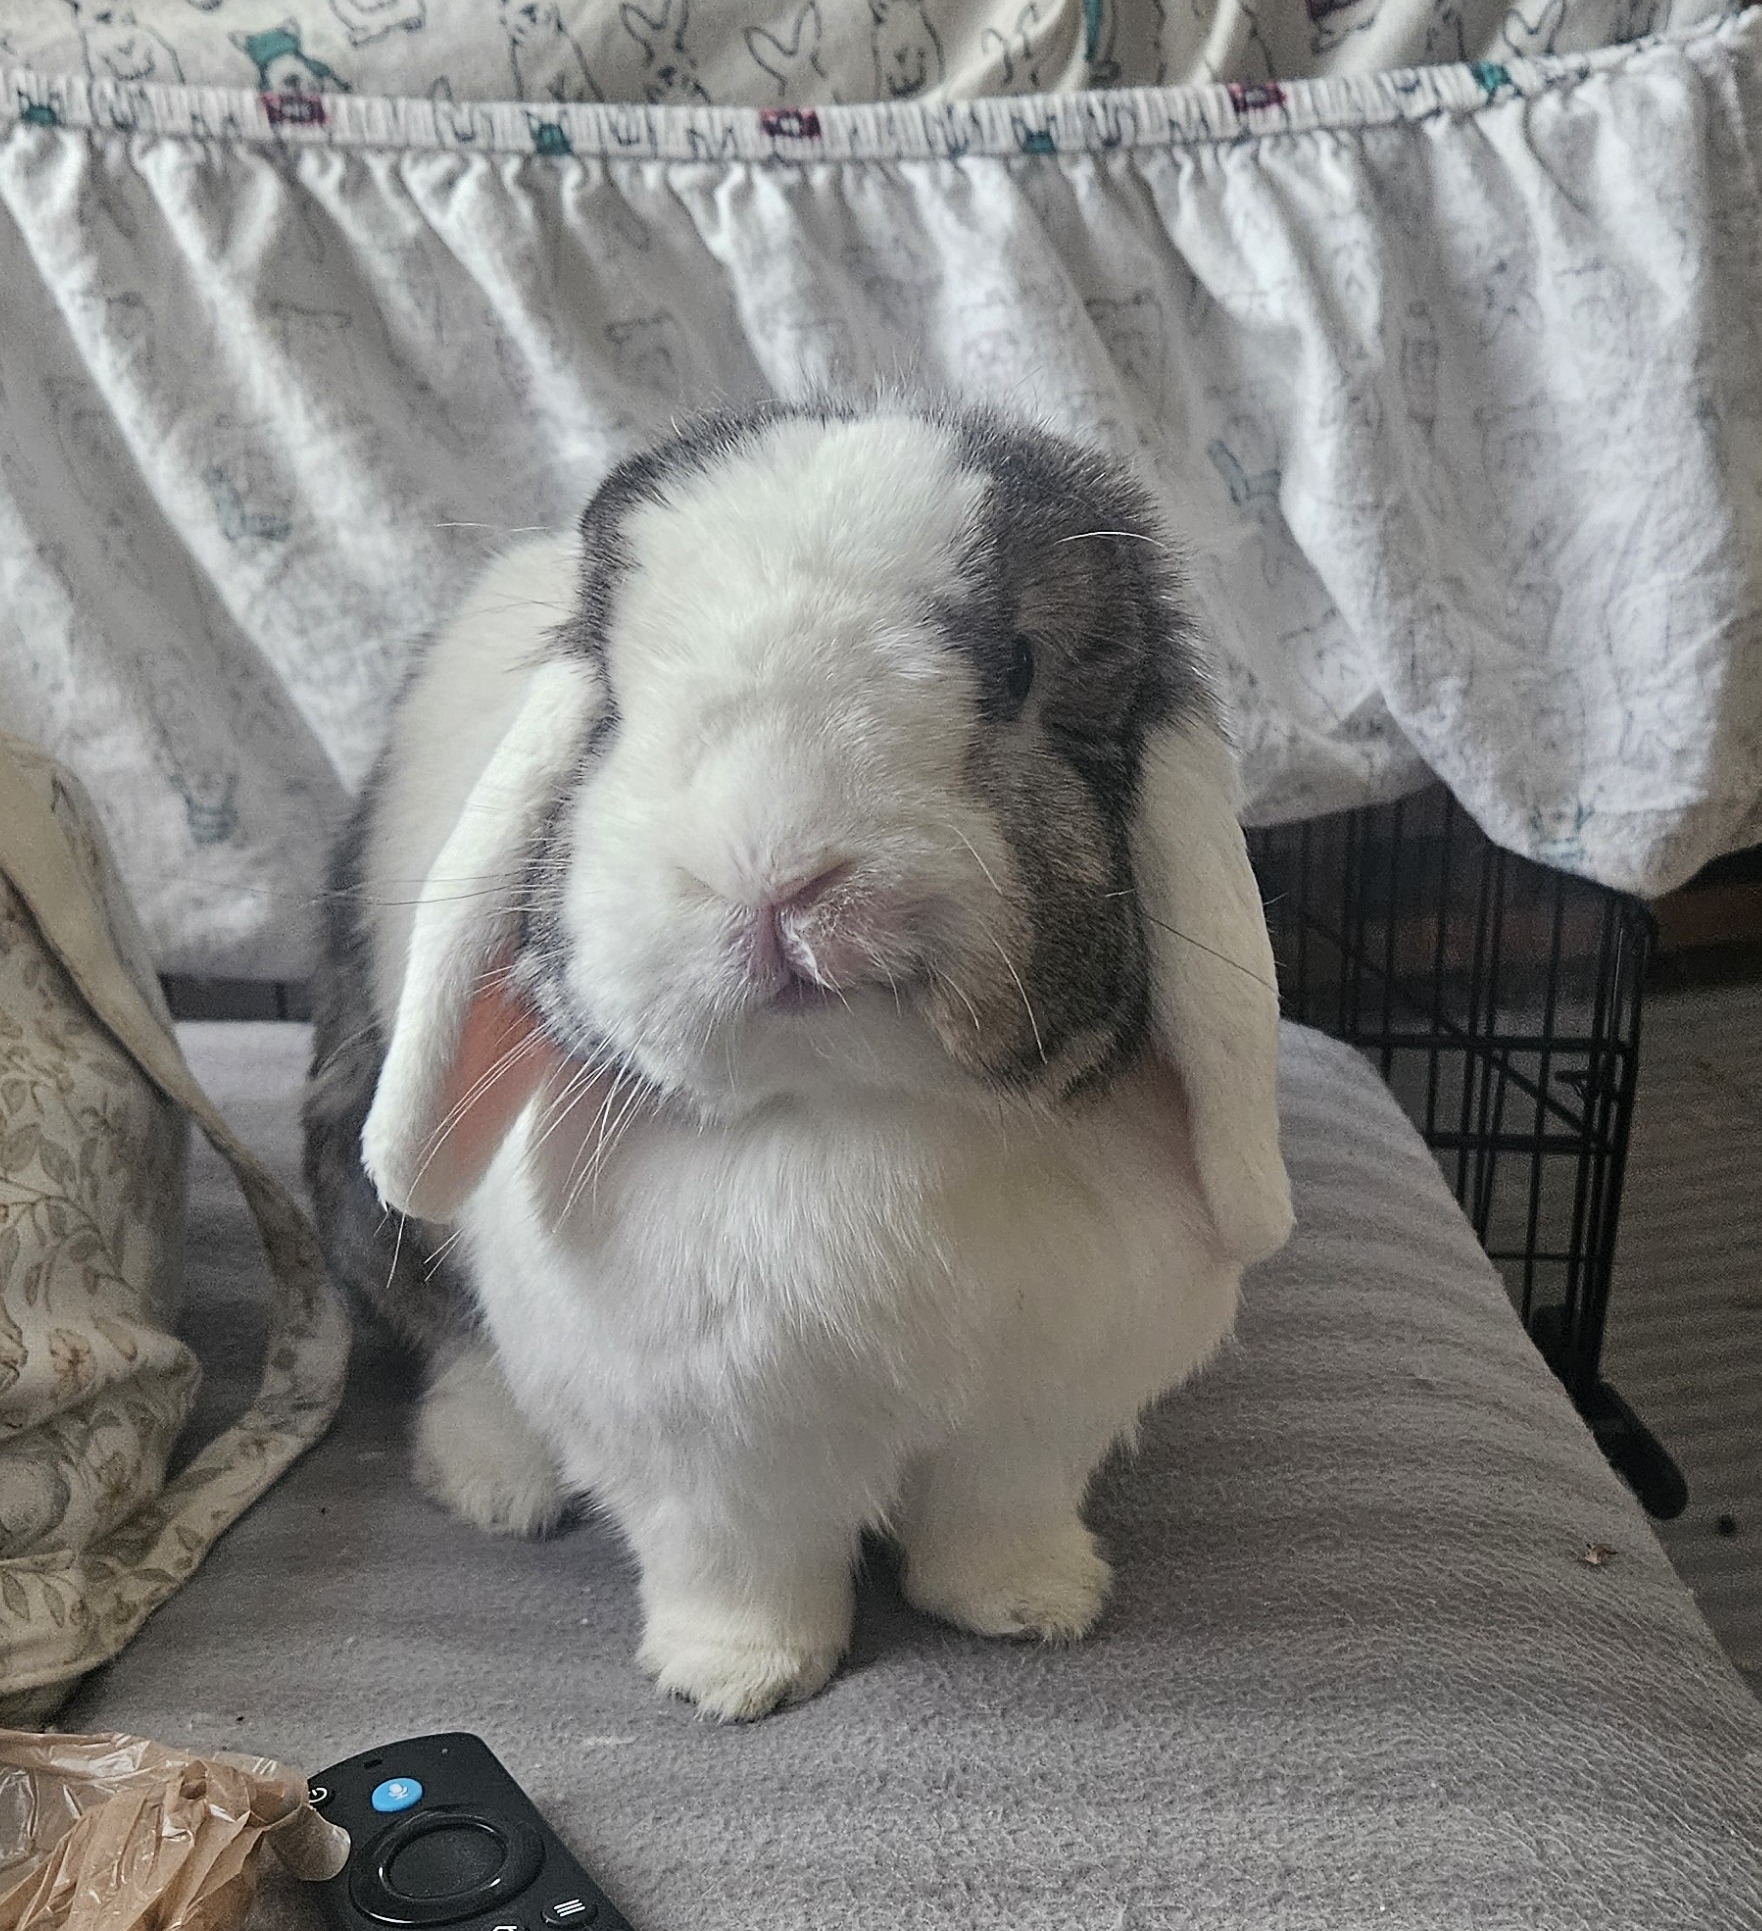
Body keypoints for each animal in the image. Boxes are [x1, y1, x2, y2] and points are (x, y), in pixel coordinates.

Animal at [302, 398, 1292, 1722]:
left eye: (1020, 667)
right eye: (619, 697)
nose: (775, 870)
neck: (855, 1108)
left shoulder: (1036, 1409)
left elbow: (1000, 1510)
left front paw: (1032, 1606)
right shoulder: (706, 1441)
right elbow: (741, 1560)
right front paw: (737, 1677)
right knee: (457, 1342)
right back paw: (502, 1481)